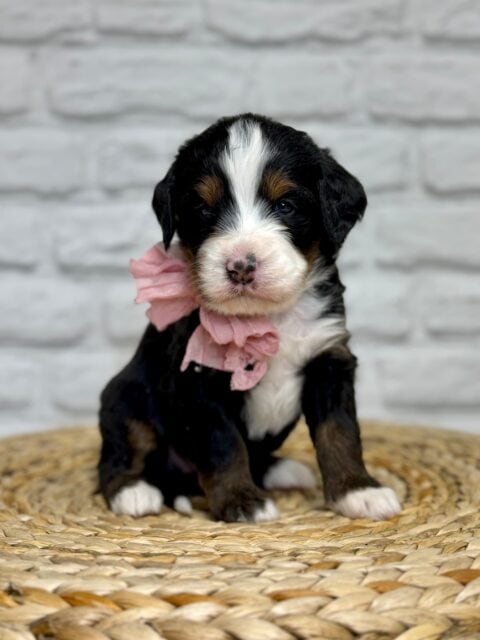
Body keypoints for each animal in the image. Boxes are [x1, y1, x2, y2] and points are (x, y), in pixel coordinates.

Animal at [96, 114, 402, 524]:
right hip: (125, 396)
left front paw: (358, 491)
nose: (240, 266)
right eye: (203, 209)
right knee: (121, 451)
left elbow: (340, 433)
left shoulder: (329, 360)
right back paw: (133, 492)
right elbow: (224, 444)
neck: (268, 316)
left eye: (286, 204)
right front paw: (241, 501)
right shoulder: (200, 379)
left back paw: (282, 470)